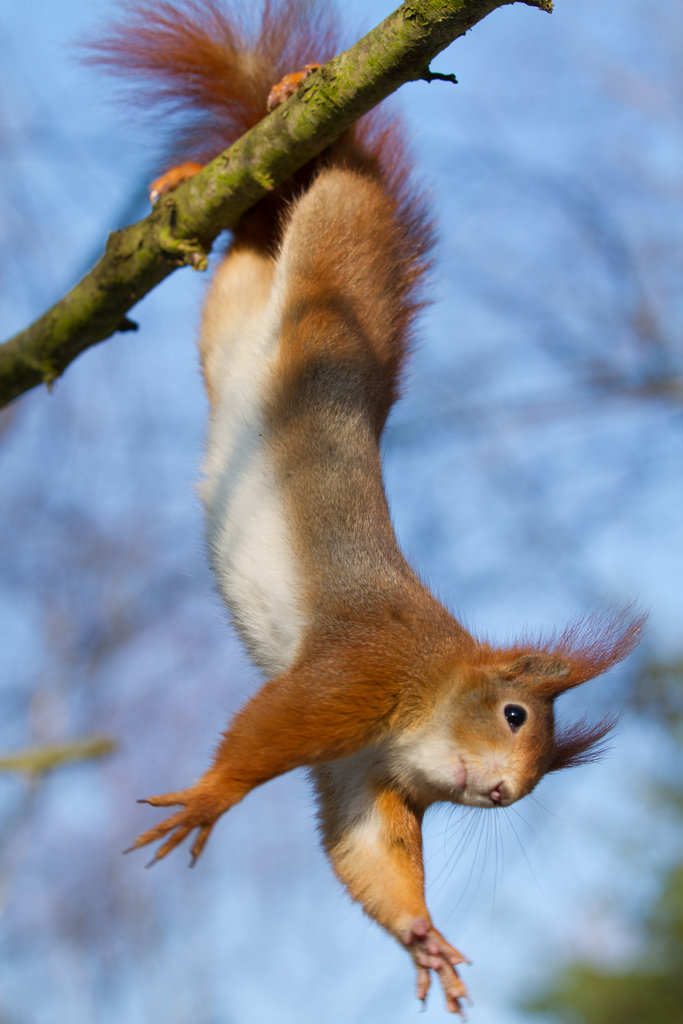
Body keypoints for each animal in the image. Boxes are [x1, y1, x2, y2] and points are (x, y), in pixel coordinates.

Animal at [89, 0, 643, 1013]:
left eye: (539, 779)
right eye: (516, 718)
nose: (502, 797)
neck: (429, 700)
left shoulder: (364, 776)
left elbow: (366, 851)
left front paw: (423, 936)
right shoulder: (359, 672)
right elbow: (267, 731)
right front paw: (210, 797)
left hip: (236, 318)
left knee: (248, 249)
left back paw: (200, 187)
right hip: (332, 271)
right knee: (336, 187)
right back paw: (295, 108)